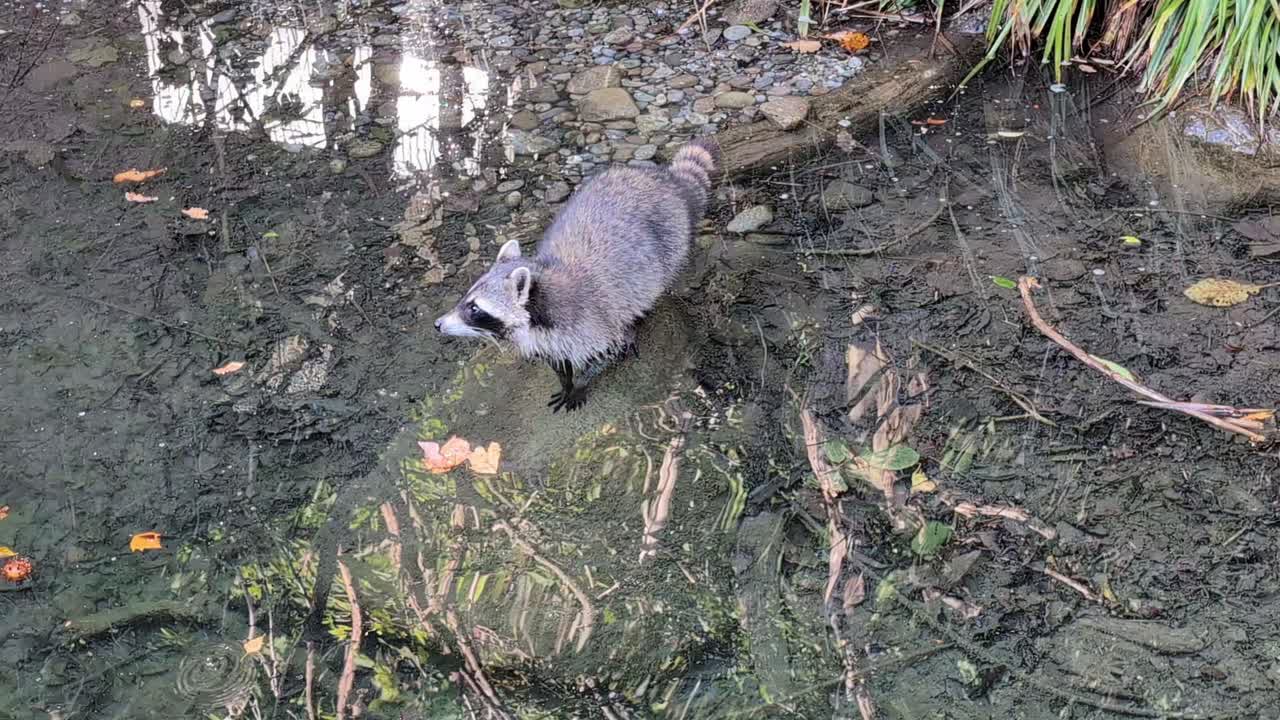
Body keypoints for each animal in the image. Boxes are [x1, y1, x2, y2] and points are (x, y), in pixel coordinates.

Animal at [434, 137, 720, 412]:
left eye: (474, 308)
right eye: (466, 297)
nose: (438, 324)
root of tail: (666, 181)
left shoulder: (590, 325)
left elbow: (606, 351)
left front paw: (581, 384)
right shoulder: (548, 339)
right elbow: (559, 362)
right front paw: (566, 382)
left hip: (669, 243)